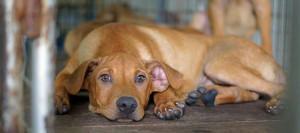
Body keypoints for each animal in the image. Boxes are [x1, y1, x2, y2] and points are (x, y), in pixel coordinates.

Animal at [55, 23, 288, 121]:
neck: (115, 41)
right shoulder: (69, 69)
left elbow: (164, 89)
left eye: (141, 78)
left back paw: (278, 103)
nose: (127, 105)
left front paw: (167, 105)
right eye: (104, 78)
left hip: (218, 64)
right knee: (253, 93)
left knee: (274, 88)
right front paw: (58, 101)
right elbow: (58, 80)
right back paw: (206, 96)